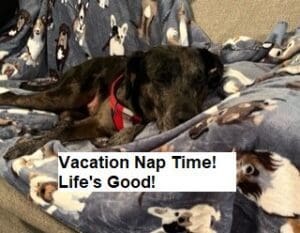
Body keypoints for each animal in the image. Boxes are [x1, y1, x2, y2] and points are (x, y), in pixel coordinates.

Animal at [0, 45, 223, 159]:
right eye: (161, 78)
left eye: (199, 79)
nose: (187, 119)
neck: (135, 107)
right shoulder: (95, 122)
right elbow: (57, 134)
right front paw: (26, 146)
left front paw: (121, 136)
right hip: (66, 95)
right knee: (15, 96)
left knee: (64, 117)